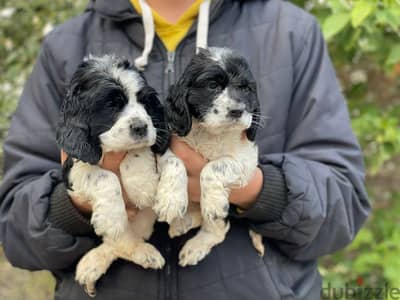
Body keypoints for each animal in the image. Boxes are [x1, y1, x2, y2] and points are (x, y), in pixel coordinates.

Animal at [56, 55, 188, 296]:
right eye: (111, 105)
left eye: (146, 103)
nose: (141, 127)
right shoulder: (72, 165)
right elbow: (104, 176)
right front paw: (111, 217)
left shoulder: (159, 144)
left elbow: (168, 159)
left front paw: (161, 196)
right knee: (119, 240)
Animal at [166, 48, 266, 266]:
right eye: (212, 86)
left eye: (246, 89)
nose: (237, 111)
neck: (212, 133)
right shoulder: (173, 143)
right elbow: (173, 161)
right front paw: (170, 201)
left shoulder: (246, 161)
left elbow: (213, 167)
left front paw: (212, 203)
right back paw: (182, 222)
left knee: (217, 230)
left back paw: (195, 246)